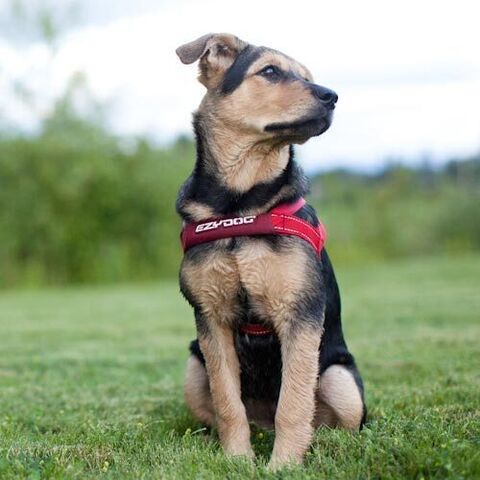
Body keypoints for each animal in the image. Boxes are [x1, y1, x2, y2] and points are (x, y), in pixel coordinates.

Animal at [175, 33, 366, 469]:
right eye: (270, 72)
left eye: (308, 77)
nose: (331, 96)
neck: (241, 203)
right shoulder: (211, 319)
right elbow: (228, 403)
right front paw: (237, 461)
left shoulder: (300, 313)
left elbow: (293, 404)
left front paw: (284, 466)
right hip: (193, 367)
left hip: (340, 378)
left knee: (335, 423)